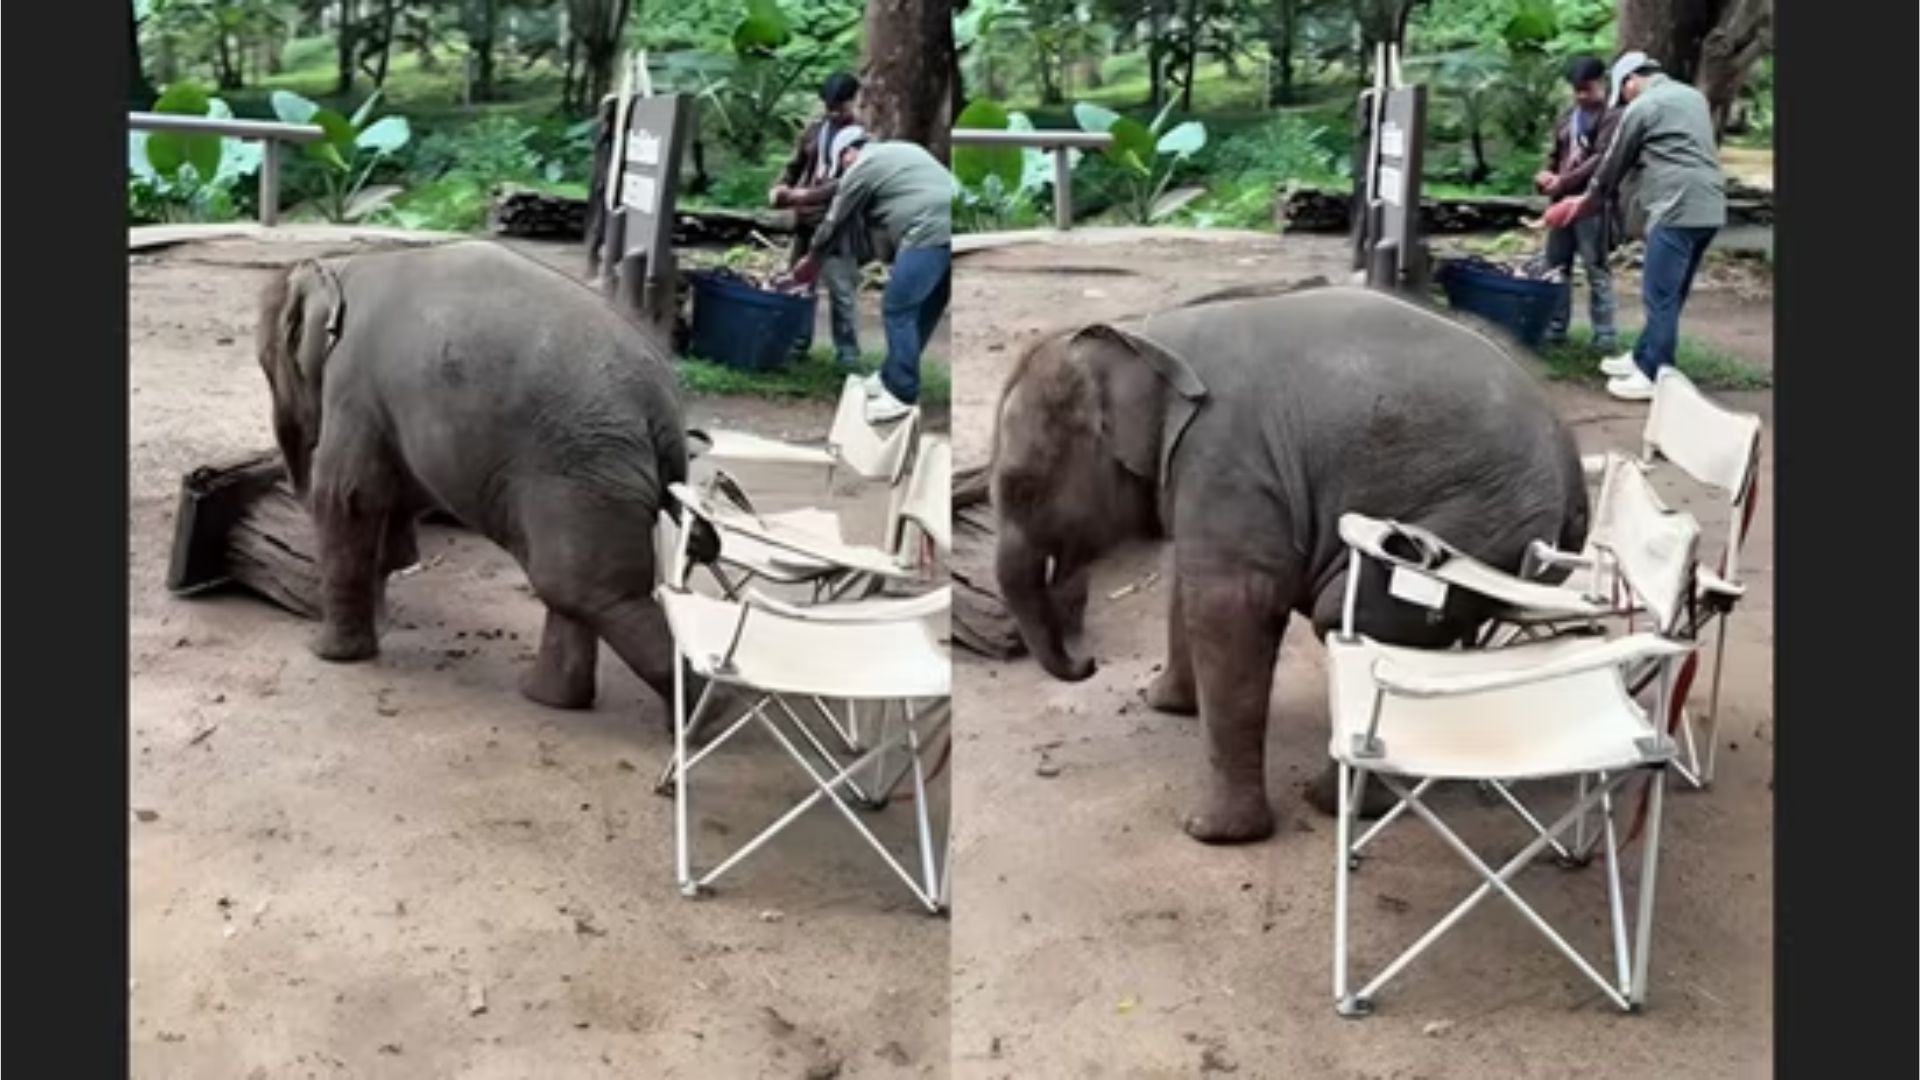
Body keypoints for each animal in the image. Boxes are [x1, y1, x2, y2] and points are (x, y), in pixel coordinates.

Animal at [256, 239, 700, 711]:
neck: (345, 264)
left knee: (586, 589)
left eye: (267, 365)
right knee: (570, 587)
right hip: (593, 473)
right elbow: (402, 494)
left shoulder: (352, 381)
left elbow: (349, 496)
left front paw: (330, 655)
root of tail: (664, 407)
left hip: (581, 468)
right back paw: (550, 699)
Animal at [990, 285, 1590, 844]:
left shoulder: (1228, 460)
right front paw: (1163, 703)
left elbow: (1230, 604)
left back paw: (1332, 803)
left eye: (1021, 489)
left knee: (1346, 615)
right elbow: (1186, 581)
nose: (1088, 664)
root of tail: (1570, 458)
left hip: (1471, 519)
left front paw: (1213, 834)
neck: (1142, 333)